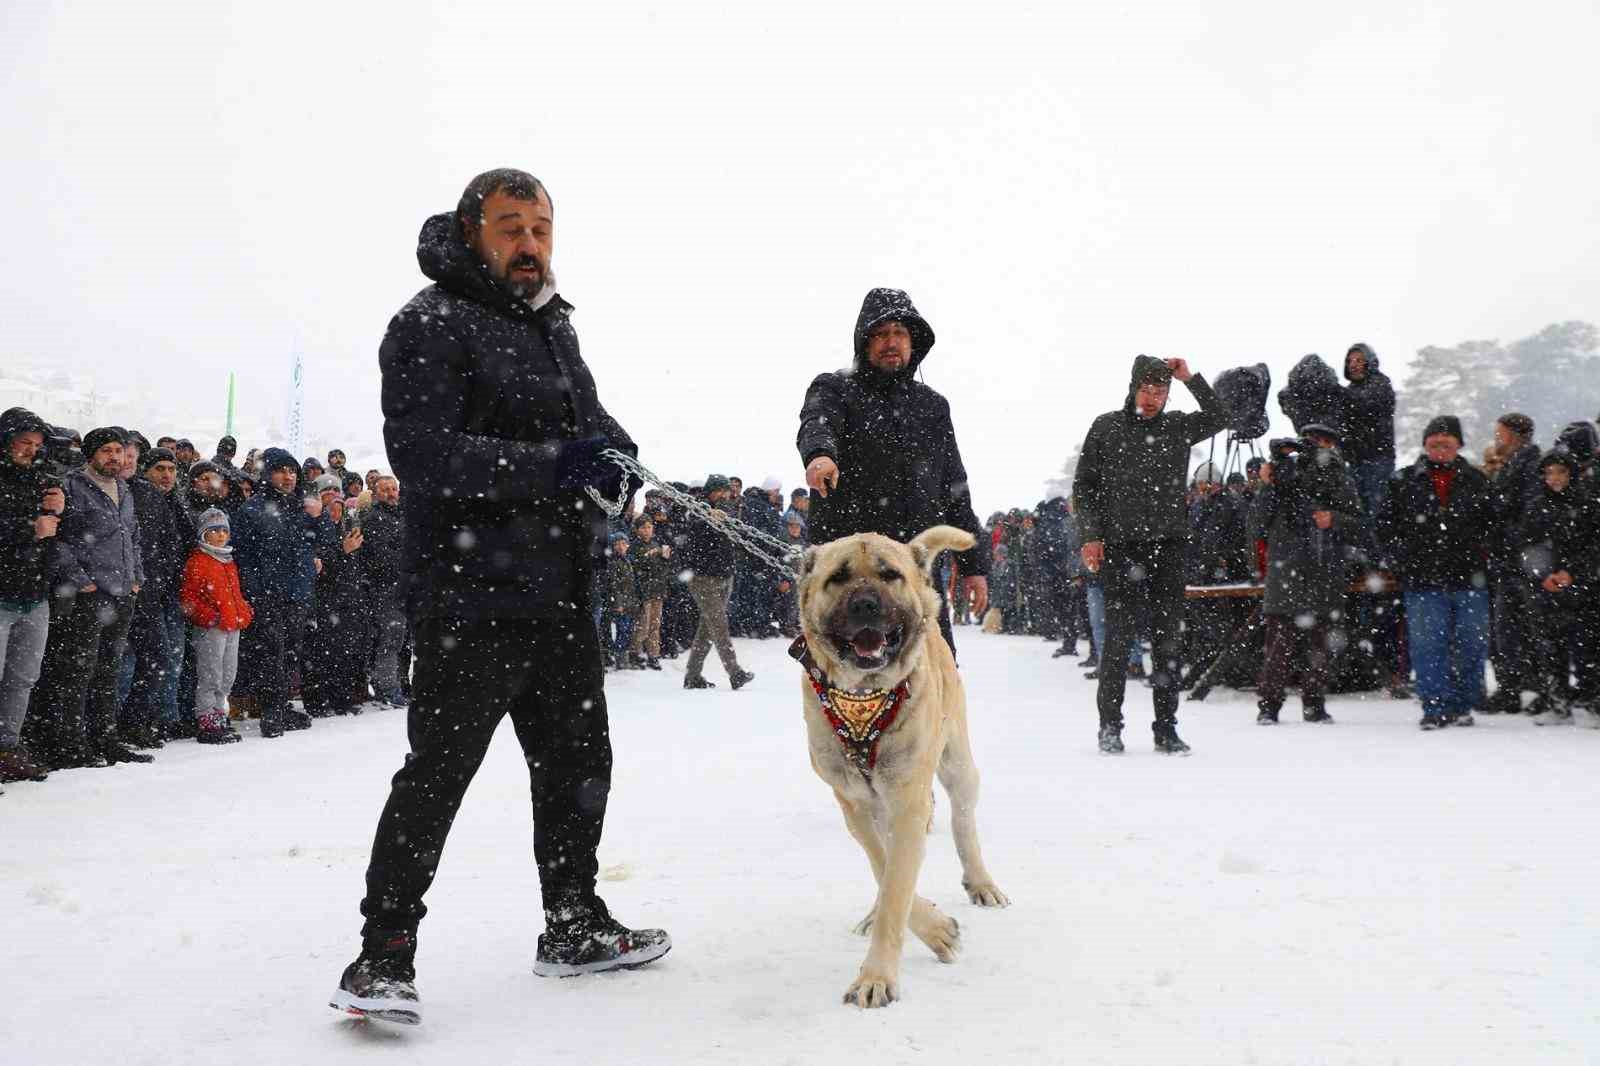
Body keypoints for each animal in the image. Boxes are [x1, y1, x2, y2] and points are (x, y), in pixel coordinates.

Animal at [796, 521, 1011, 1005]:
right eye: (838, 577)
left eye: (889, 574)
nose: (866, 604)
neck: (863, 697)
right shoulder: (855, 802)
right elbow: (884, 866)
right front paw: (932, 927)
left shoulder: (908, 797)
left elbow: (897, 883)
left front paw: (876, 976)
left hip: (957, 763)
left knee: (963, 822)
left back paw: (981, 882)